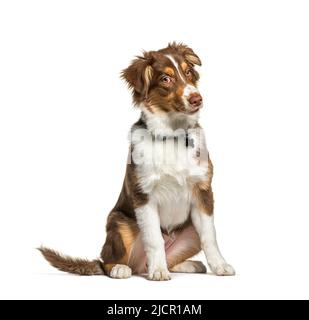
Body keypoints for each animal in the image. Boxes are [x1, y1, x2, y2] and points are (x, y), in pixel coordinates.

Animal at [39, 42, 235, 280]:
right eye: (165, 79)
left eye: (188, 72)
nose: (197, 98)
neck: (172, 136)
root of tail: (139, 265)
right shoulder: (144, 195)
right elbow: (154, 239)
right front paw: (158, 270)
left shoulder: (203, 194)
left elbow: (210, 236)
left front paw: (220, 266)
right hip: (118, 221)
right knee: (106, 262)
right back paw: (122, 268)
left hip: (190, 232)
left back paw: (188, 265)